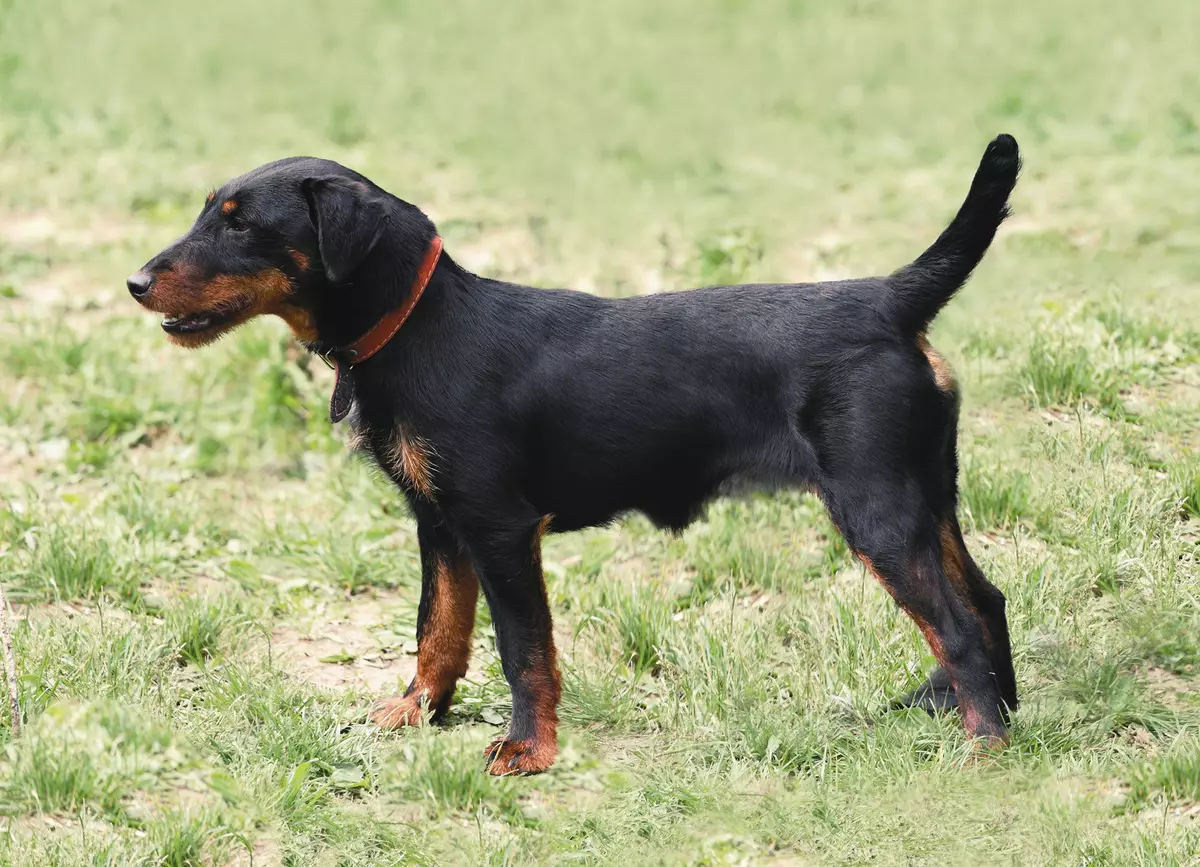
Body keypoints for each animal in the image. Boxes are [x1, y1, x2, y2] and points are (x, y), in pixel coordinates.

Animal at [129, 136, 1022, 778]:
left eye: (241, 224)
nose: (136, 282)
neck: (422, 329)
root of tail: (891, 296)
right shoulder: (439, 525)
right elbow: (436, 629)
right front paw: (418, 711)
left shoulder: (499, 529)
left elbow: (523, 649)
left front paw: (528, 750)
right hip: (925, 494)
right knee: (985, 600)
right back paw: (995, 715)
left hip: (876, 508)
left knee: (955, 623)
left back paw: (983, 747)